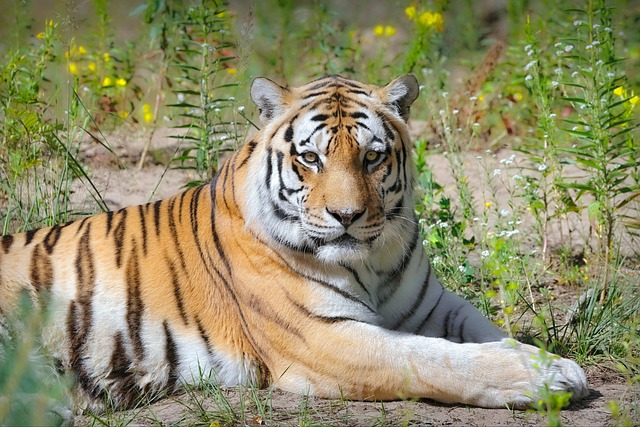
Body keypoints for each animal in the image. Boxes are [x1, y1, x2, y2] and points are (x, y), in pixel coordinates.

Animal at [0, 74, 588, 412]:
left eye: (372, 157)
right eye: (310, 158)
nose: (347, 216)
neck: (373, 263)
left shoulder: (432, 305)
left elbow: (486, 334)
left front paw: (548, 360)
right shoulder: (323, 338)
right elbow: (433, 358)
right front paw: (545, 377)